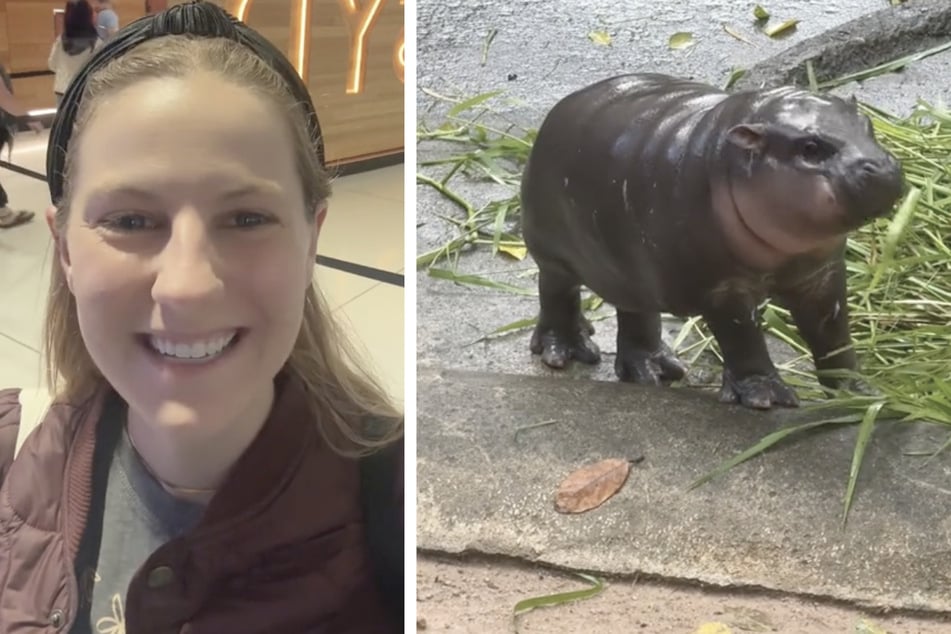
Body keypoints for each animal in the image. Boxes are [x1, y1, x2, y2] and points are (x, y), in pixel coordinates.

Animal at [524, 73, 904, 410]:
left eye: (867, 124)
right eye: (810, 148)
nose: (883, 168)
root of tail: (565, 105)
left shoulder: (821, 274)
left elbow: (833, 335)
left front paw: (859, 391)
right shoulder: (723, 289)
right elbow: (743, 340)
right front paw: (764, 398)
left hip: (627, 267)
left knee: (635, 313)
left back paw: (655, 371)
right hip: (553, 254)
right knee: (557, 294)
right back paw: (565, 352)